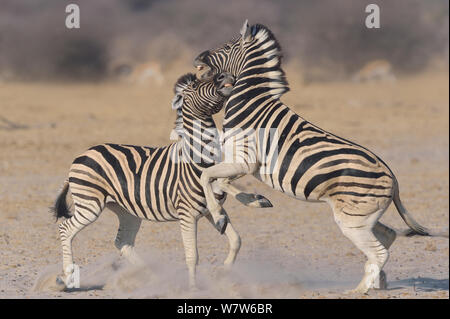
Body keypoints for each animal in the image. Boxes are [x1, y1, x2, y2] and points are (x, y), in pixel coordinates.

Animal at [51, 71, 272, 292]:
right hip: (90, 204)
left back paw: (153, 278)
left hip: (126, 211)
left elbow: (236, 240)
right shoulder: (187, 215)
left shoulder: (212, 209)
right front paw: (193, 288)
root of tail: (83, 154)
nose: (224, 75)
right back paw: (67, 278)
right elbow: (192, 256)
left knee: (123, 242)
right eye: (196, 84)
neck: (199, 159)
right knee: (66, 229)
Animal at [191, 20, 446, 296]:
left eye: (227, 46)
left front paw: (219, 216)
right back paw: (377, 283)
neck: (250, 102)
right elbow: (218, 181)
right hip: (361, 216)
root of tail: (393, 177)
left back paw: (358, 291)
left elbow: (208, 176)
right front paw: (254, 201)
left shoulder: (244, 160)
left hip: (352, 219)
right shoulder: (241, 163)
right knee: (387, 237)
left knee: (379, 252)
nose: (197, 60)